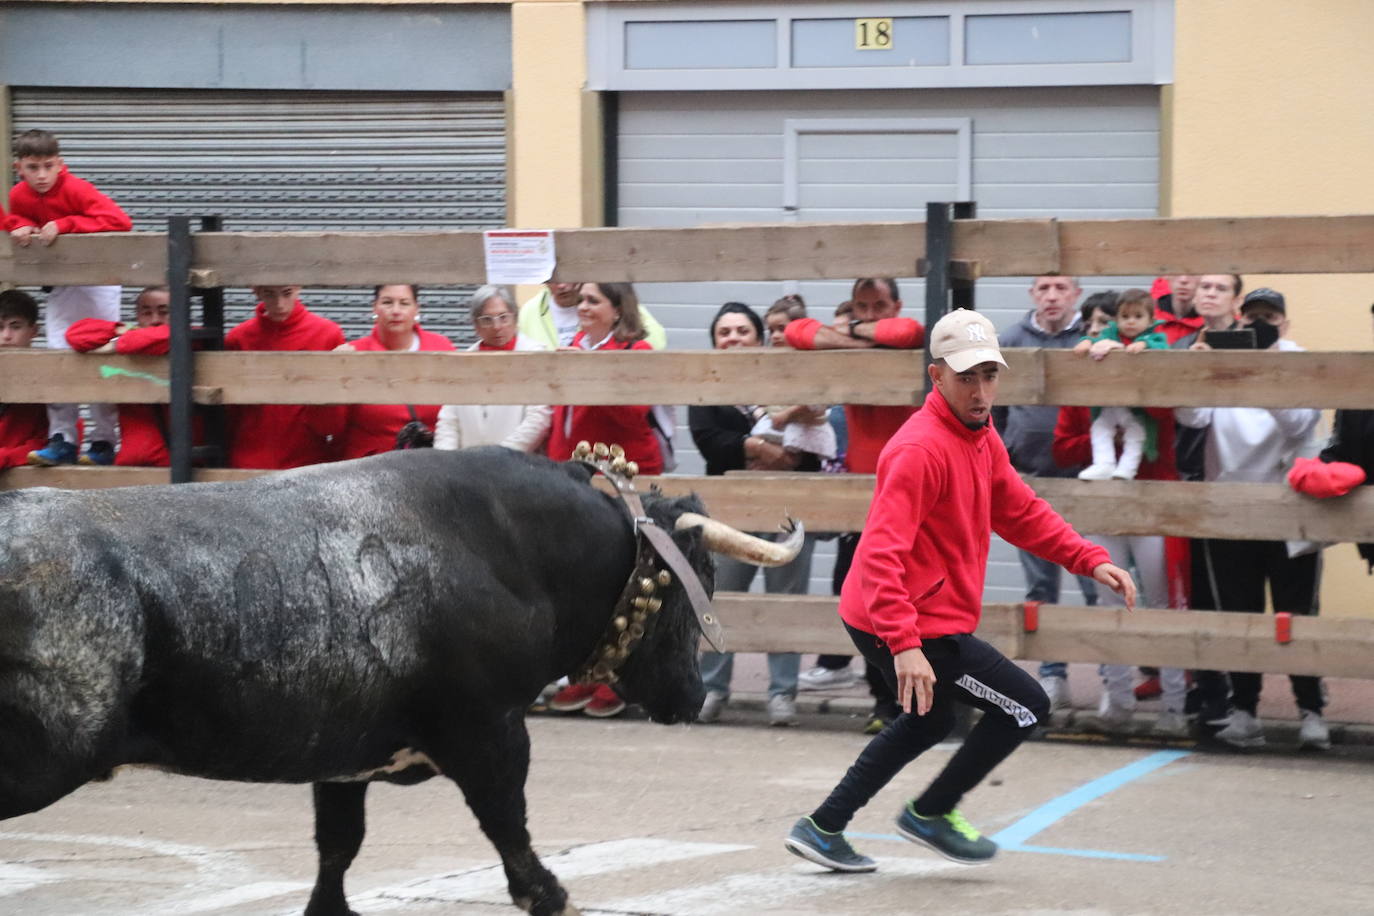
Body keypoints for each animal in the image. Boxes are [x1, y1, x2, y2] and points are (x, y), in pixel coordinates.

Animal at [0, 450, 796, 916]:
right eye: (696, 581)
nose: (691, 696)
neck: (511, 548)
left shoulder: (340, 757)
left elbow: (337, 851)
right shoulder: (490, 733)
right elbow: (512, 836)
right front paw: (554, 894)